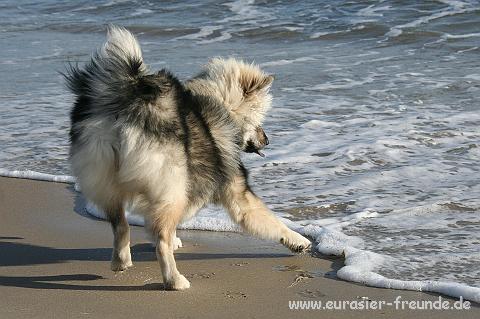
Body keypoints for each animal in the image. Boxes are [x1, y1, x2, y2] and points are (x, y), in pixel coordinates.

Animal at [64, 26, 312, 292]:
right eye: (260, 119)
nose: (267, 140)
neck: (220, 103)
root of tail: (127, 100)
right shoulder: (234, 192)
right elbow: (270, 219)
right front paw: (299, 240)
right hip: (171, 183)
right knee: (160, 236)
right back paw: (174, 280)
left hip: (104, 175)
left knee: (120, 224)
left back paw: (120, 261)